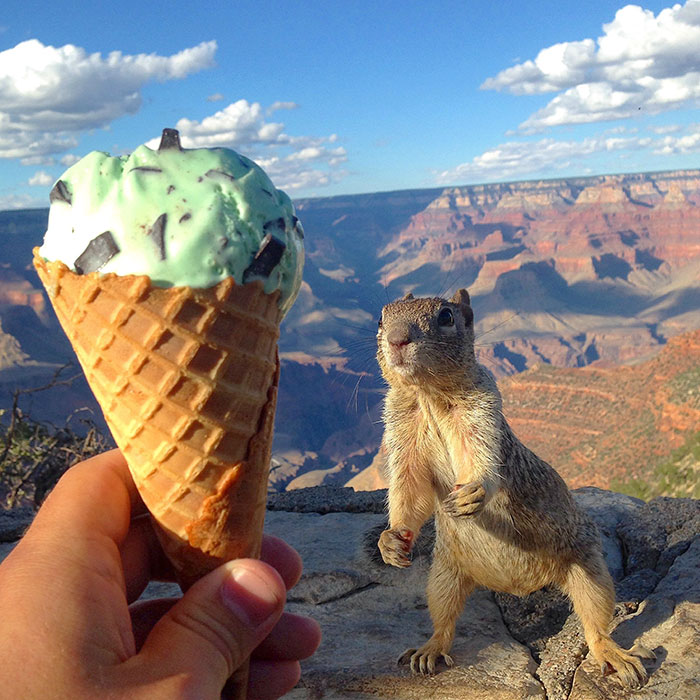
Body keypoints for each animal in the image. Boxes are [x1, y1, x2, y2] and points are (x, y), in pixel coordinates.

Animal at [376, 289, 654, 687]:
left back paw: (616, 656)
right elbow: (409, 490)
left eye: (446, 317)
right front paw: (391, 541)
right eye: (381, 317)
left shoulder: (483, 409)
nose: (397, 339)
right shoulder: (401, 430)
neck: (429, 395)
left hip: (589, 568)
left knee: (596, 624)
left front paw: (472, 494)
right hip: (444, 577)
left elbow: (484, 461)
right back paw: (429, 650)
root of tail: (520, 586)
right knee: (444, 621)